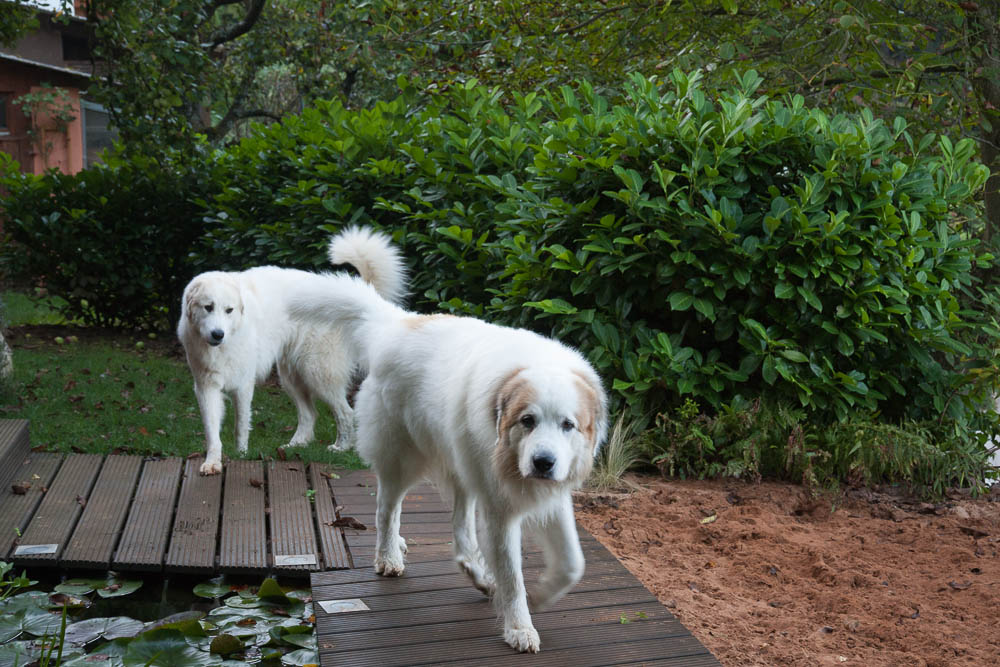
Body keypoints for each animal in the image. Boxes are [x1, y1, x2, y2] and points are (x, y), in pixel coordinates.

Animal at [177, 228, 406, 474]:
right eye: (208, 307)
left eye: (229, 310)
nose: (218, 334)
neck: (226, 342)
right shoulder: (206, 387)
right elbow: (212, 432)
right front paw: (212, 462)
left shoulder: (243, 385)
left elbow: (241, 425)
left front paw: (241, 455)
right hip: (291, 376)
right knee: (310, 414)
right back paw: (294, 445)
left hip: (317, 373)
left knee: (346, 412)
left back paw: (340, 448)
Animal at [290, 270, 608, 652]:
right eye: (528, 421)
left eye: (567, 425)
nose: (543, 462)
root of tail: (397, 325)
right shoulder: (501, 511)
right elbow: (513, 578)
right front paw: (520, 628)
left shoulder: (550, 496)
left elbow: (573, 563)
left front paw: (544, 595)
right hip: (404, 459)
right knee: (386, 509)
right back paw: (389, 557)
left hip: (462, 465)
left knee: (460, 532)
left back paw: (474, 572)